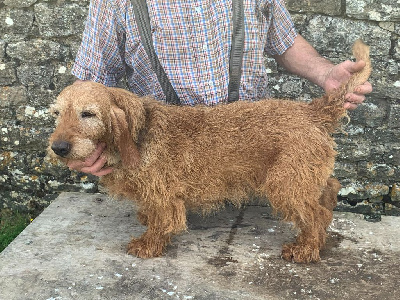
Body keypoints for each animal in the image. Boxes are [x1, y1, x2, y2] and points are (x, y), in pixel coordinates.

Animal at [49, 40, 372, 262]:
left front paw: (148, 244)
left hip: (286, 183)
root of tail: (311, 111)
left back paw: (306, 247)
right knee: (330, 187)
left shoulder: (164, 195)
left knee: (316, 215)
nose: (58, 147)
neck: (139, 133)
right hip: (303, 176)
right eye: (56, 113)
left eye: (88, 113)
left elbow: (162, 222)